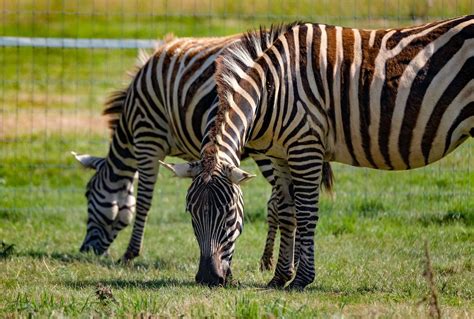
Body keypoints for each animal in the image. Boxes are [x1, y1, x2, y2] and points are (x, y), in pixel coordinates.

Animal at [73, 30, 334, 272]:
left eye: (88, 194)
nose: (85, 250)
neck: (129, 118)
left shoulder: (148, 139)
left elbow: (145, 200)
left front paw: (130, 253)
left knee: (283, 200)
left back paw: (280, 260)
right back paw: (284, 260)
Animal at [161, 15, 472, 290]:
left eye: (228, 213)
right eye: (190, 212)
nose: (208, 279)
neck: (271, 90)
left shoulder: (305, 146)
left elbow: (306, 212)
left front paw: (301, 279)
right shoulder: (280, 154)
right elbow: (286, 211)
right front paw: (279, 278)